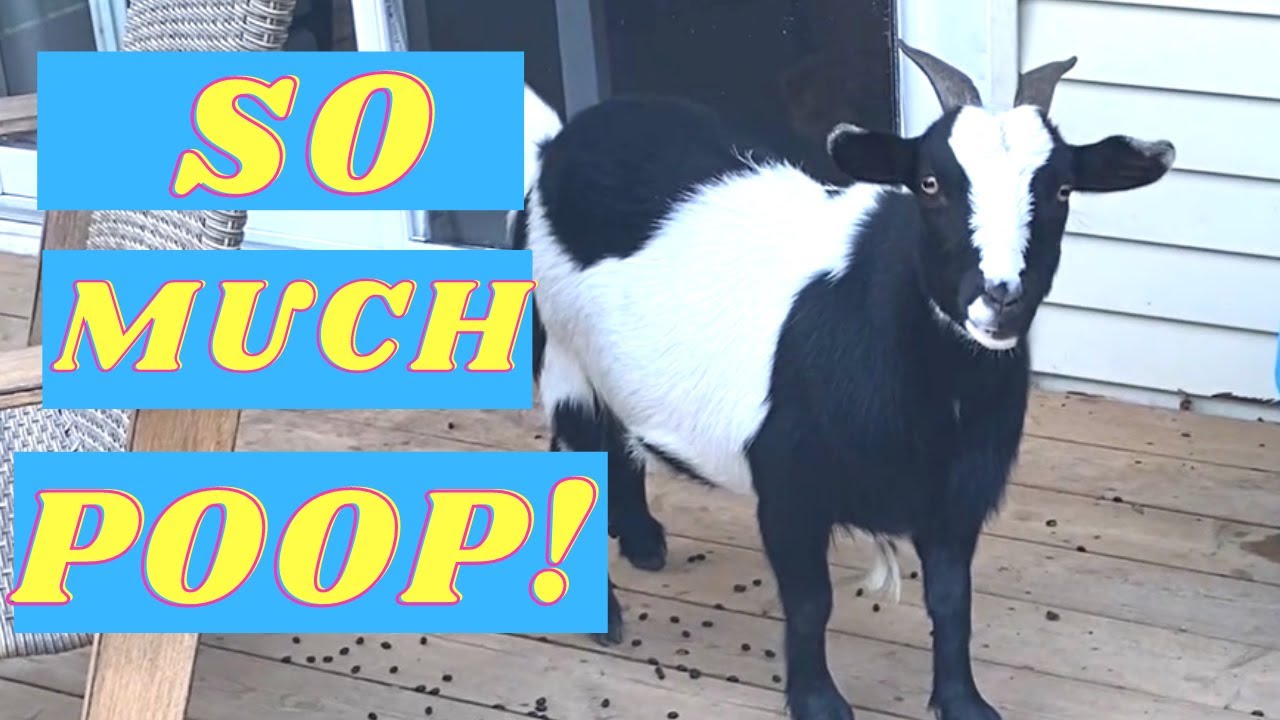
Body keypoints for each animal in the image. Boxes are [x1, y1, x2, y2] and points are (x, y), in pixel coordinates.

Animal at [511, 41, 1175, 720]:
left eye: (1063, 188)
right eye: (929, 183)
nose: (1001, 297)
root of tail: (559, 142)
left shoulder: (956, 496)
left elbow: (952, 602)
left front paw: (963, 702)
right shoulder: (787, 486)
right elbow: (810, 604)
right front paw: (819, 702)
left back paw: (643, 542)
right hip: (562, 354)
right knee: (576, 457)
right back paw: (602, 610)